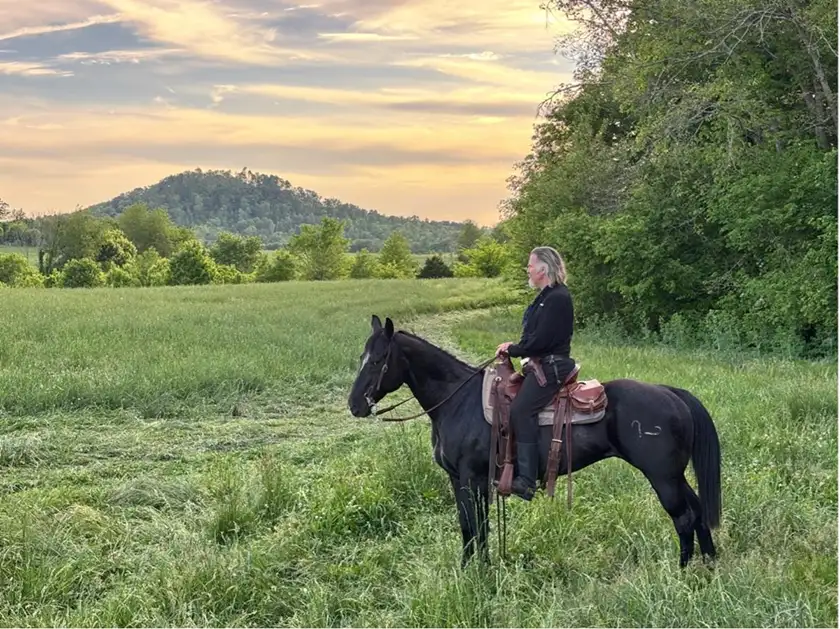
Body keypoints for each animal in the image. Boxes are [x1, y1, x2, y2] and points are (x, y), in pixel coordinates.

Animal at [348, 316, 720, 568]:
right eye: (361, 357)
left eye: (378, 360)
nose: (355, 405)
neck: (458, 402)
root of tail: (670, 393)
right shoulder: (458, 479)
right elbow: (469, 526)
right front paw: (470, 568)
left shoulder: (471, 478)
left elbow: (476, 525)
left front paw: (479, 572)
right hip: (675, 475)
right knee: (698, 511)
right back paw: (708, 564)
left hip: (662, 476)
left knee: (683, 518)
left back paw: (682, 571)